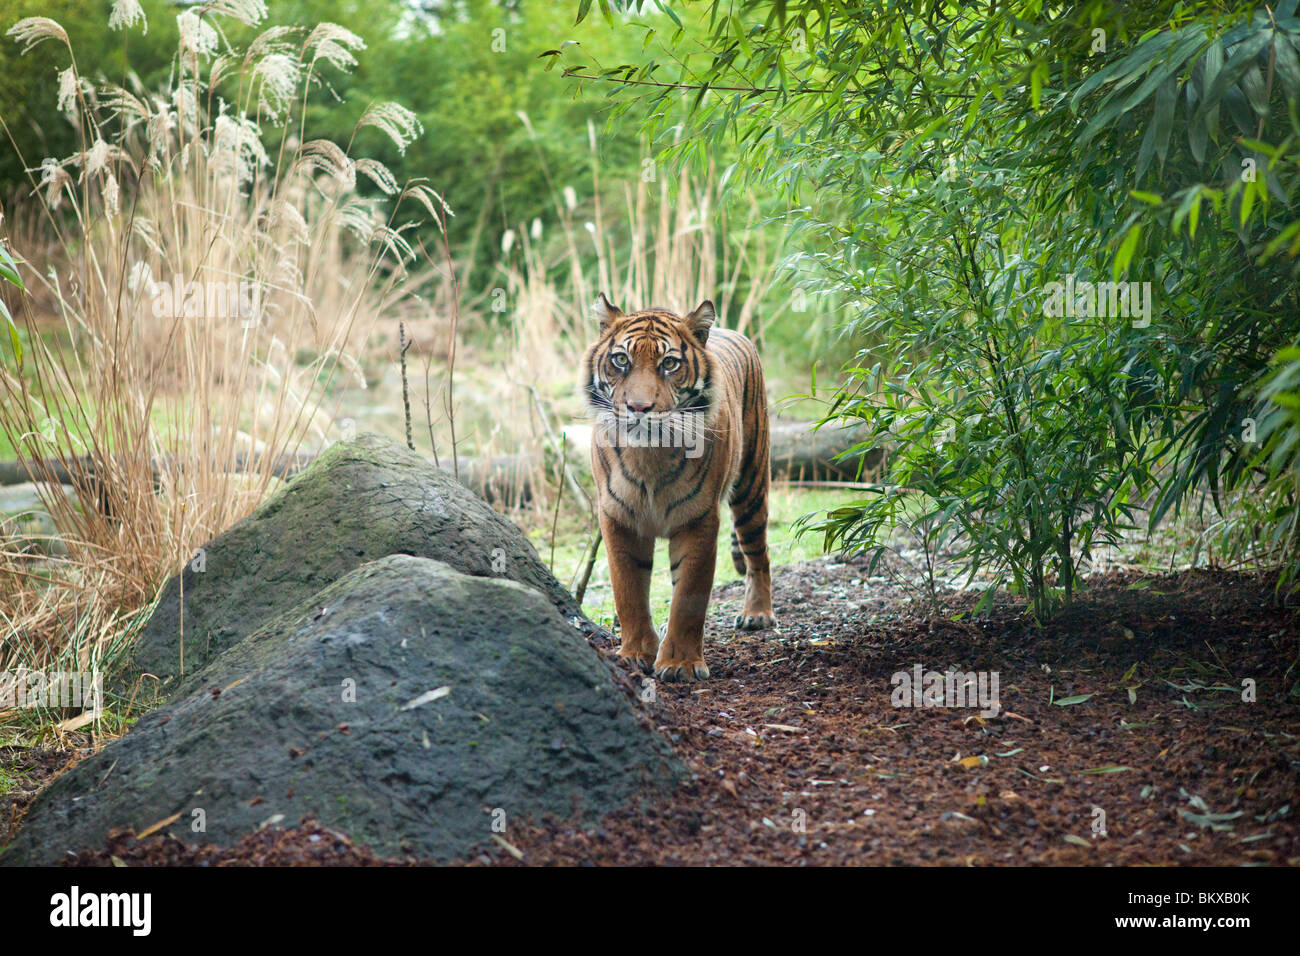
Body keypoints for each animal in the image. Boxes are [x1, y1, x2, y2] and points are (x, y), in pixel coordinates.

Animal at [585, 291, 774, 681]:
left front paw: (680, 664)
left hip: (751, 485)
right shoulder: (617, 517)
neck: (649, 454)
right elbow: (628, 592)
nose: (638, 407)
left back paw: (757, 614)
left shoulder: (698, 518)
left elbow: (689, 596)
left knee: (758, 553)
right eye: (621, 360)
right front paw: (635, 654)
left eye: (669, 364)